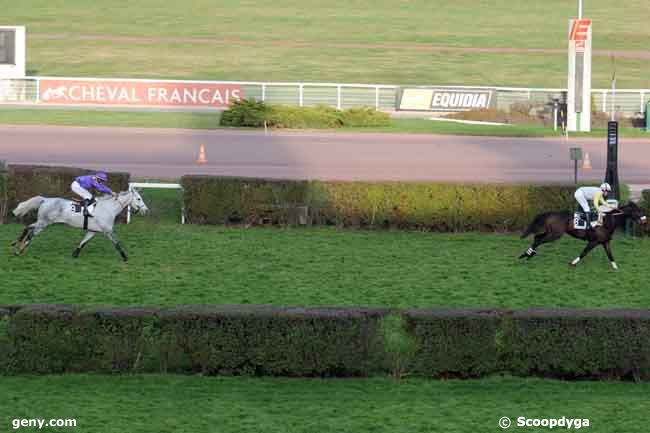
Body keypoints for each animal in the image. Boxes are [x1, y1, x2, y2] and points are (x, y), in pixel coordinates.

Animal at [10, 189, 148, 260]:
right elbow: (117, 244)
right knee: (31, 234)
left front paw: (75, 254)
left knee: (28, 227)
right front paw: (125, 257)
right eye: (139, 198)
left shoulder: (93, 231)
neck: (108, 208)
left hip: (42, 221)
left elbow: (83, 242)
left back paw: (16, 243)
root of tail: (45, 199)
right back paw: (20, 250)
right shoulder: (108, 231)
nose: (146, 210)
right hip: (43, 223)